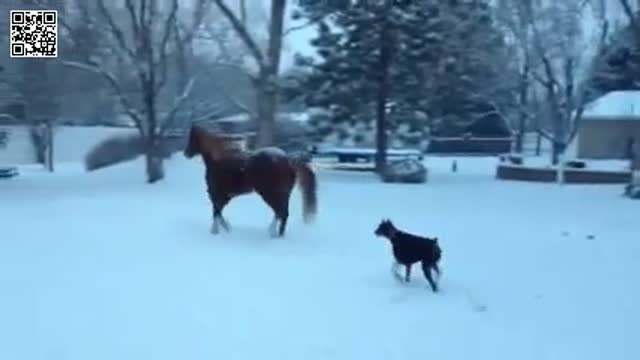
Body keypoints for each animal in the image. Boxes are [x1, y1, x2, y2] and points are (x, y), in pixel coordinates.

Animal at [182, 125, 318, 238]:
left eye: (192, 139)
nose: (186, 153)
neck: (217, 161)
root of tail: (289, 160)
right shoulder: (224, 195)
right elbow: (217, 211)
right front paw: (224, 229)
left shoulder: (217, 193)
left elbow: (216, 211)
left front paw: (218, 230)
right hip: (283, 194)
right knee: (281, 213)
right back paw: (275, 233)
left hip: (271, 194)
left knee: (281, 212)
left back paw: (275, 235)